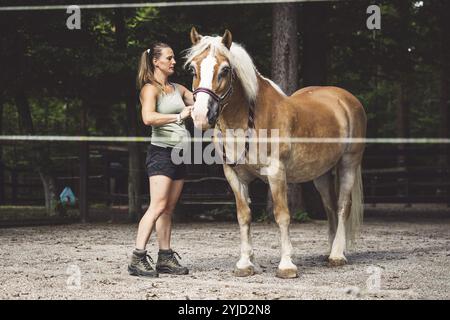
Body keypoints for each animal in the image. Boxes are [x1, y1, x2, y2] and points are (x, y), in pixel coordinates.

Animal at [185, 27, 366, 278]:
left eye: (225, 70)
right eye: (193, 68)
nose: (202, 116)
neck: (247, 120)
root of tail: (346, 99)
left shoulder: (276, 172)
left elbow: (282, 215)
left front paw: (287, 265)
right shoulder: (234, 175)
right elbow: (244, 216)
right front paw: (245, 264)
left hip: (349, 163)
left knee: (342, 206)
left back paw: (338, 255)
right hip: (320, 173)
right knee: (329, 206)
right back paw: (330, 251)